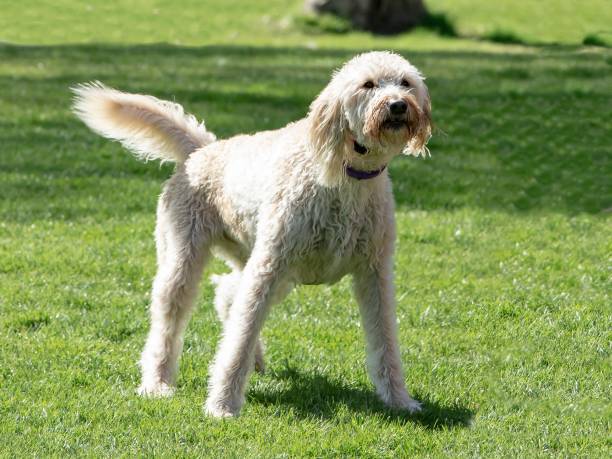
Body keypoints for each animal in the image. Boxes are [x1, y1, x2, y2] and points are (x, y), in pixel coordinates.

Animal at [72, 51, 432, 417]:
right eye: (368, 84)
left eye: (406, 83)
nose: (398, 105)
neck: (346, 175)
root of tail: (200, 151)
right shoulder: (268, 268)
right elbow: (239, 340)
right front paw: (222, 405)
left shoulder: (374, 274)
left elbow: (385, 340)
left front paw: (399, 400)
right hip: (186, 261)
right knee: (169, 324)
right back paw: (157, 383)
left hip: (267, 266)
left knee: (226, 294)